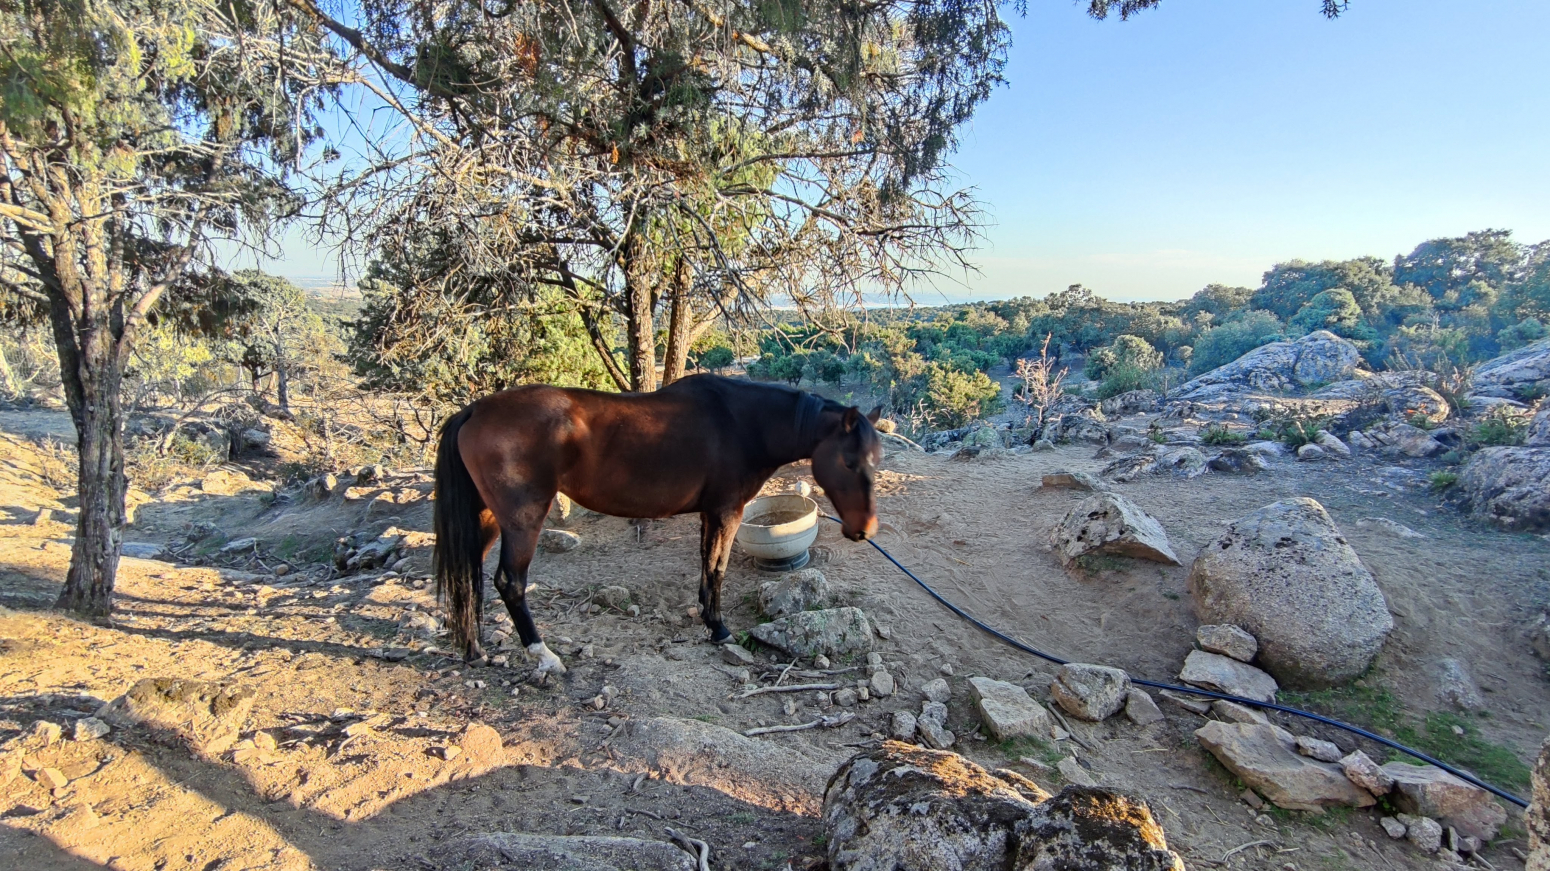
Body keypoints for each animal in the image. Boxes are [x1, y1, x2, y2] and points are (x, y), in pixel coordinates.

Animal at [434, 373, 886, 672]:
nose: (864, 530)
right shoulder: (728, 511)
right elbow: (718, 568)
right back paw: (543, 656)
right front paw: (719, 629)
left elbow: (706, 564)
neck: (742, 424)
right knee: (509, 582)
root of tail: (475, 410)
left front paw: (706, 616)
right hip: (522, 519)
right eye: (849, 462)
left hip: (487, 518)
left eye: (875, 462)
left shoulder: (710, 512)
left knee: (468, 576)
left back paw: (473, 650)